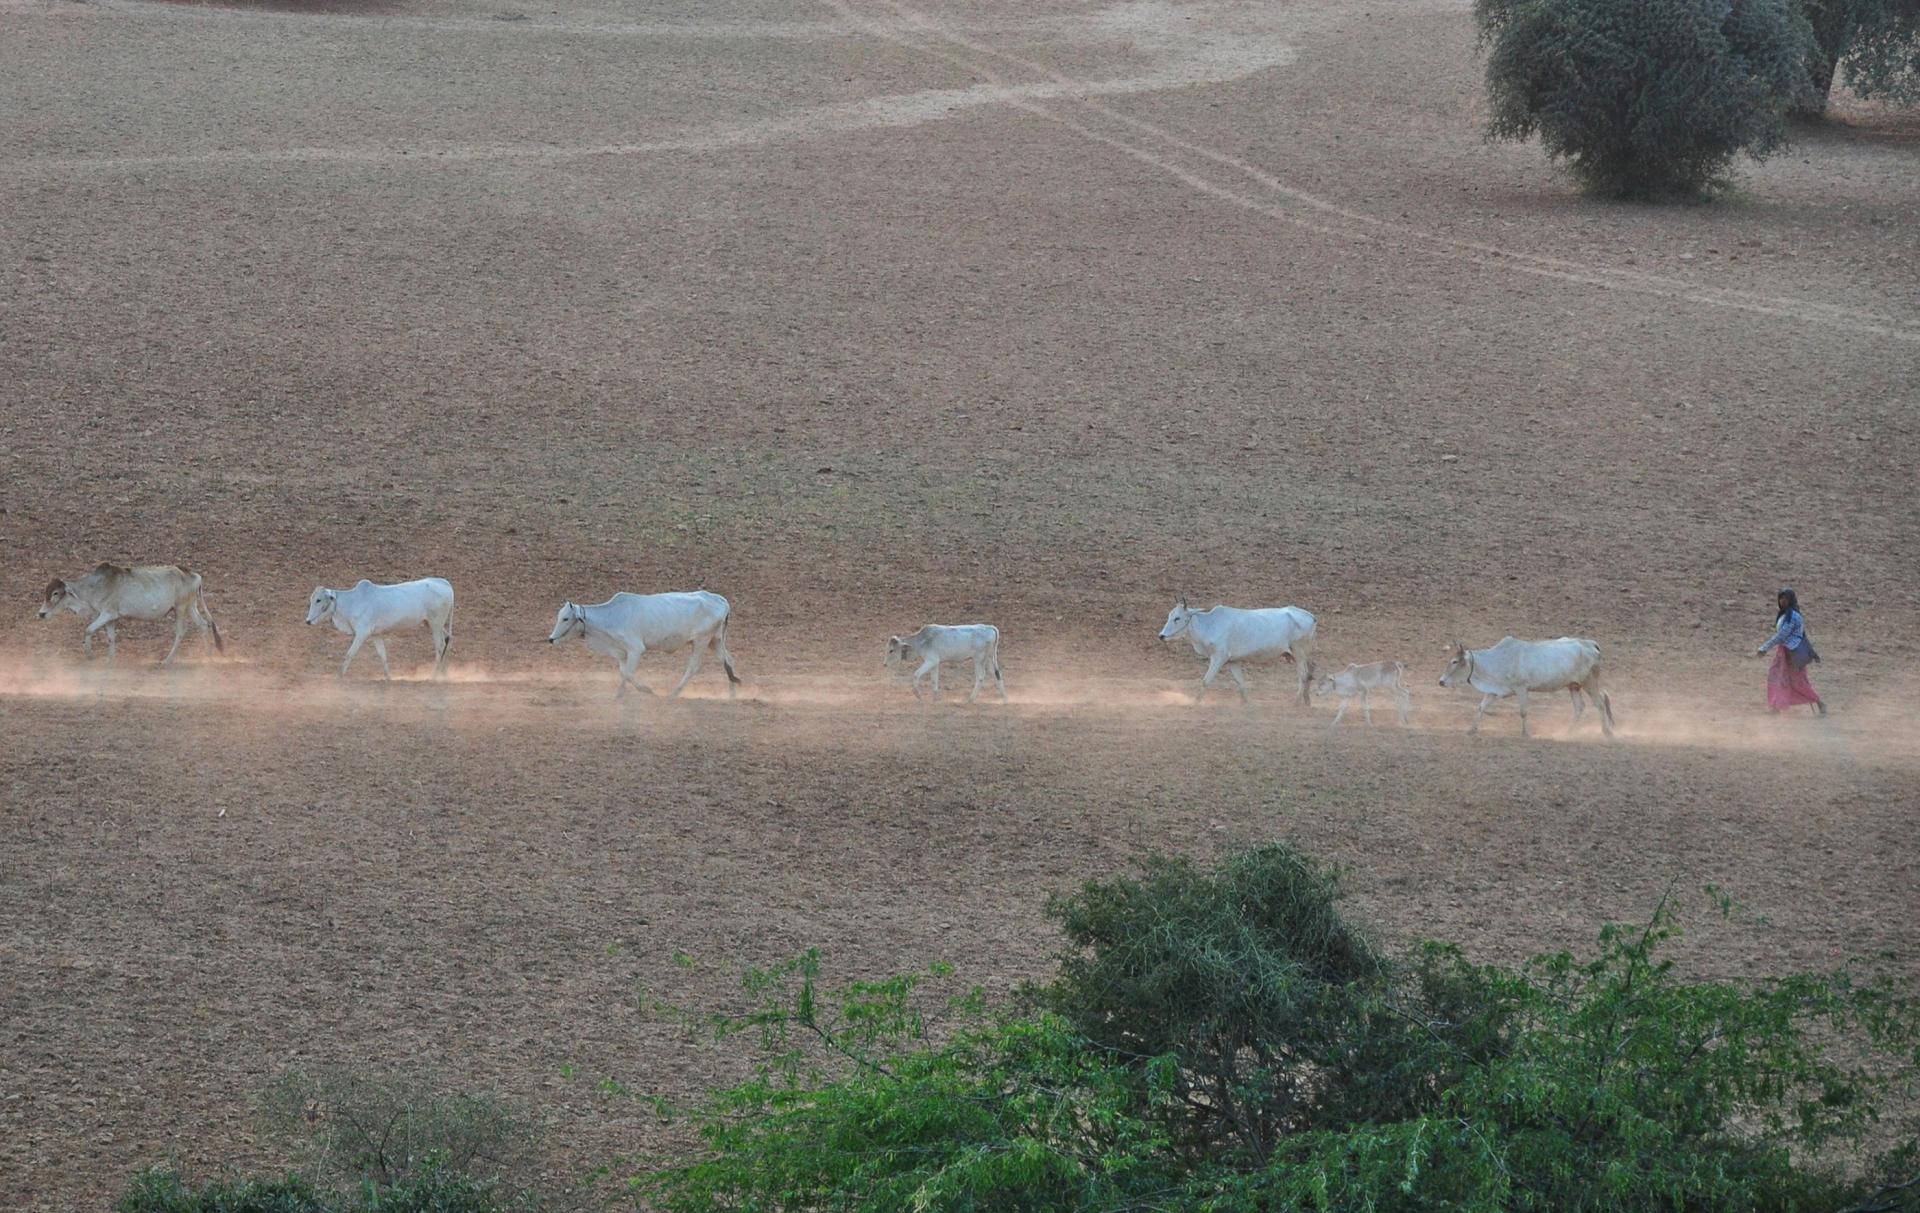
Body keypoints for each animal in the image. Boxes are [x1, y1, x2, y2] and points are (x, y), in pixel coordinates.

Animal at [39, 560, 222, 664]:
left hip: (180, 608)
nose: (41, 614)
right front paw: (110, 659)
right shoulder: (111, 618)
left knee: (181, 632)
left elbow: (88, 630)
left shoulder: (107, 614)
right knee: (203, 625)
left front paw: (90, 656)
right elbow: (111, 637)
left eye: (56, 593)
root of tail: (193, 575)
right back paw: (207, 656)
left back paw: (167, 660)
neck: (95, 586)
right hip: (190, 606)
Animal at [307, 579, 456, 683]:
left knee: (439, 647)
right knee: (446, 640)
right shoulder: (376, 635)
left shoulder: (362, 634)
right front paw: (388, 677)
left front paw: (338, 676)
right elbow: (382, 655)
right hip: (431, 624)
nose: (308, 621)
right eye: (311, 599)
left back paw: (434, 676)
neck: (351, 603)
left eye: (318, 600)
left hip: (436, 624)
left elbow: (349, 654)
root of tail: (445, 583)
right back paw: (444, 675)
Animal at [556, 591, 741, 694]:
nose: (551, 639)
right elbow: (623, 672)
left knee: (694, 667)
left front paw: (644, 690)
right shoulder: (622, 652)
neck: (612, 616)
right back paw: (733, 688)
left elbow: (628, 673)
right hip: (714, 640)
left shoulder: (635, 649)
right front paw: (620, 693)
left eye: (566, 618)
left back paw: (675, 692)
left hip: (701, 640)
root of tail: (720, 600)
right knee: (727, 660)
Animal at [1436, 633, 1612, 740]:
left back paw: (1606, 732)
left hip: (1589, 681)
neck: (1496, 661)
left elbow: (1523, 711)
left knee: (1600, 703)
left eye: (1454, 661)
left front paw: (1525, 733)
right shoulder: (1494, 691)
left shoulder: (1522, 688)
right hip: (1573, 685)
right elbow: (1481, 708)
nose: (1441, 681)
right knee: (1579, 707)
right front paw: (1471, 730)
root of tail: (1590, 643)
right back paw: (1567, 733)